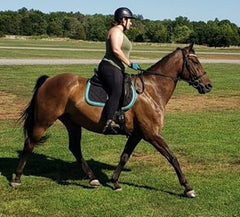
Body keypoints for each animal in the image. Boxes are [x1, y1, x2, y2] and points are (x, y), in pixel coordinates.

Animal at [10, 43, 212, 198]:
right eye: (195, 61)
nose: (208, 86)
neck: (151, 90)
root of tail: (49, 79)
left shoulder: (137, 134)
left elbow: (124, 157)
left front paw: (114, 181)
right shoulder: (152, 134)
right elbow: (172, 158)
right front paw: (188, 188)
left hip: (72, 123)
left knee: (74, 148)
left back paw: (92, 178)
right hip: (43, 121)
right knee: (29, 143)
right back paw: (17, 178)